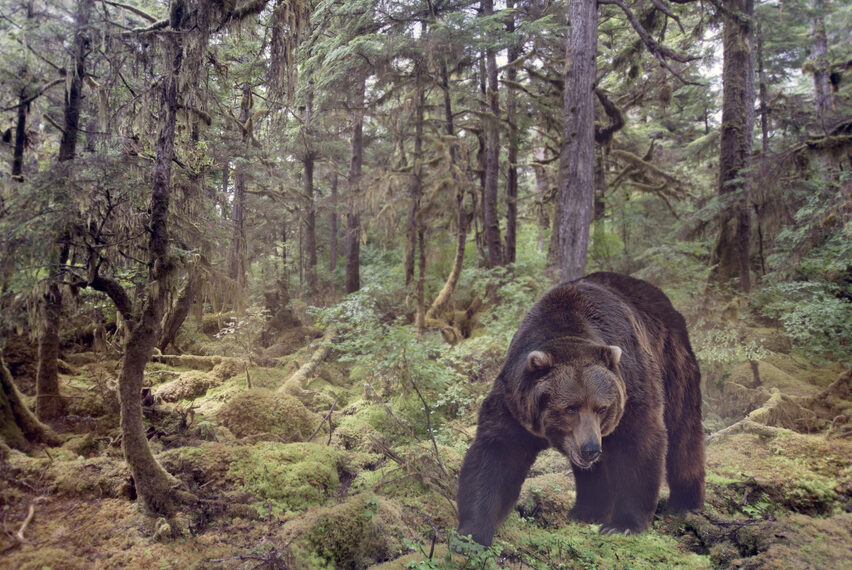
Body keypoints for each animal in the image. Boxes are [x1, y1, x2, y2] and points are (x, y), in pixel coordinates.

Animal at [460, 272, 704, 544]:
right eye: (570, 408)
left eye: (602, 408)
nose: (590, 449)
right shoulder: (516, 403)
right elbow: (497, 454)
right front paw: (472, 533)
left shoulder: (631, 384)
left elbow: (638, 443)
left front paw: (622, 524)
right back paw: (587, 510)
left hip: (672, 362)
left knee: (683, 431)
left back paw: (686, 503)